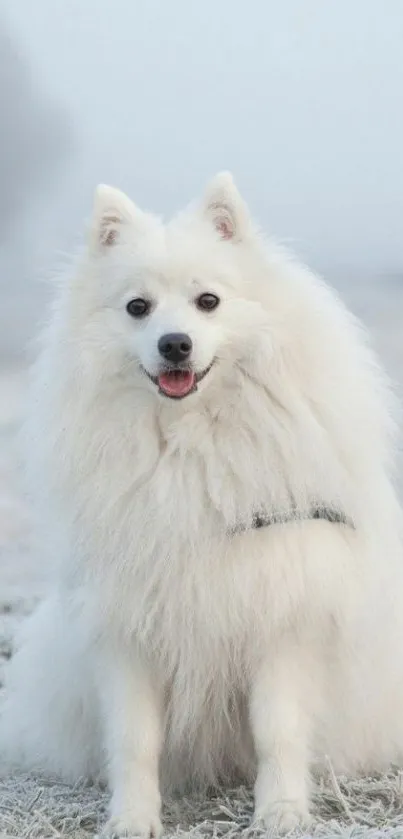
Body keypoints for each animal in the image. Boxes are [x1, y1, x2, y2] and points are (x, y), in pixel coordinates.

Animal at [0, 174, 403, 836]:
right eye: (137, 307)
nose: (175, 344)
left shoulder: (282, 618)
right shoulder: (127, 629)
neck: (190, 447)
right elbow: (134, 741)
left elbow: (277, 732)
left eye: (208, 301)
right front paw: (132, 820)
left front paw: (281, 813)